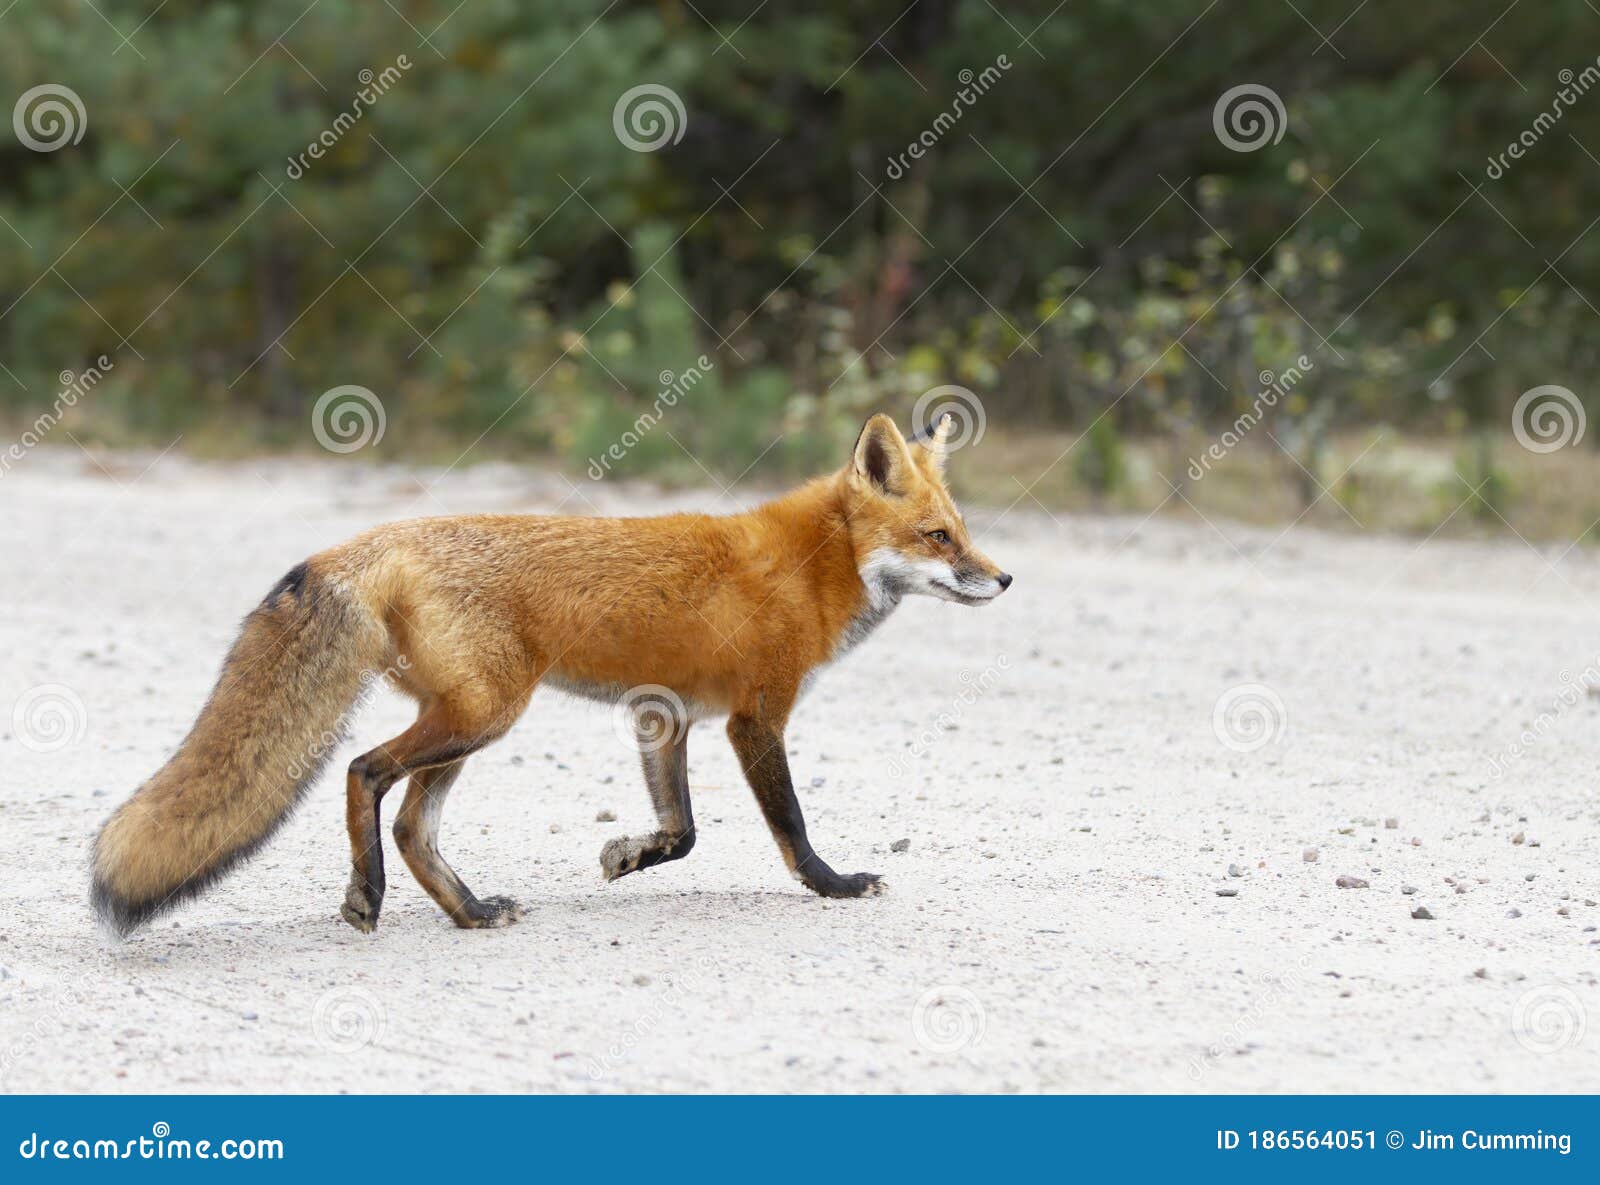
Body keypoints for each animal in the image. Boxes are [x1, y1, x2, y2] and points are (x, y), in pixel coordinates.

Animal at [87, 412, 1004, 933]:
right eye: (938, 538)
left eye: (964, 530)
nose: (1004, 579)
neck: (813, 568)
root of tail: (372, 538)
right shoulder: (756, 716)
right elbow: (791, 826)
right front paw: (835, 886)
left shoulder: (662, 714)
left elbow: (681, 831)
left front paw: (627, 856)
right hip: (484, 714)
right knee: (362, 772)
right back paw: (367, 896)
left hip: (466, 722)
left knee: (412, 825)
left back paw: (469, 912)